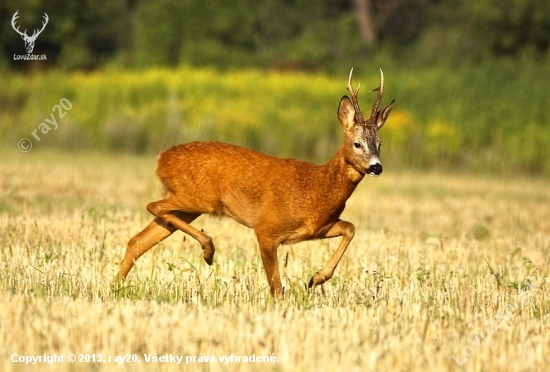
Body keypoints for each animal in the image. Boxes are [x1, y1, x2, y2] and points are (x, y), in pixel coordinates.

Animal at [118, 69, 394, 296]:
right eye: (357, 144)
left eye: (380, 144)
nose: (376, 167)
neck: (315, 188)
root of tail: (161, 158)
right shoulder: (267, 229)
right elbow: (276, 287)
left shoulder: (318, 228)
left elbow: (350, 228)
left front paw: (315, 279)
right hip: (196, 198)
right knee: (152, 206)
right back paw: (208, 250)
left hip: (189, 207)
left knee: (137, 240)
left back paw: (116, 287)